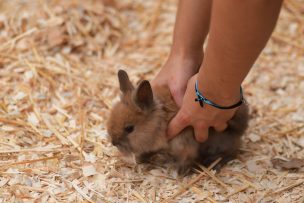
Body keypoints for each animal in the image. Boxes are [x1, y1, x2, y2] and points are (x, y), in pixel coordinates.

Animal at [105, 70, 248, 174]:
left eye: (129, 128)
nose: (114, 142)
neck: (158, 122)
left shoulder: (184, 142)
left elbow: (186, 157)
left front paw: (181, 172)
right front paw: (141, 159)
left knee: (232, 152)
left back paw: (213, 163)